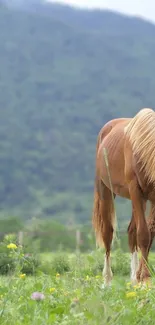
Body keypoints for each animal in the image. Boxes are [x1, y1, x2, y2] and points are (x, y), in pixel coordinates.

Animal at [92, 107, 155, 284]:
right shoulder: (136, 191)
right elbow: (144, 235)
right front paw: (145, 278)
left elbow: (149, 232)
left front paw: (142, 277)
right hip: (106, 191)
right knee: (108, 232)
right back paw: (107, 281)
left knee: (131, 231)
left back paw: (134, 278)